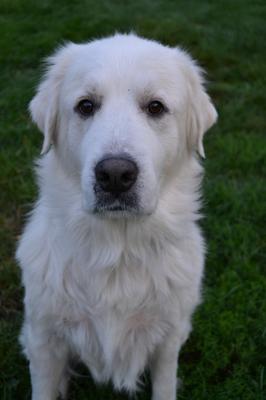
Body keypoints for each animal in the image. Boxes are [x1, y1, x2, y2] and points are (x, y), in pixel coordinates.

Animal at [16, 34, 216, 400]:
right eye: (86, 106)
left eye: (155, 107)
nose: (115, 175)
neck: (117, 251)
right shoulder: (45, 338)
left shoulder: (168, 340)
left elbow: (164, 383)